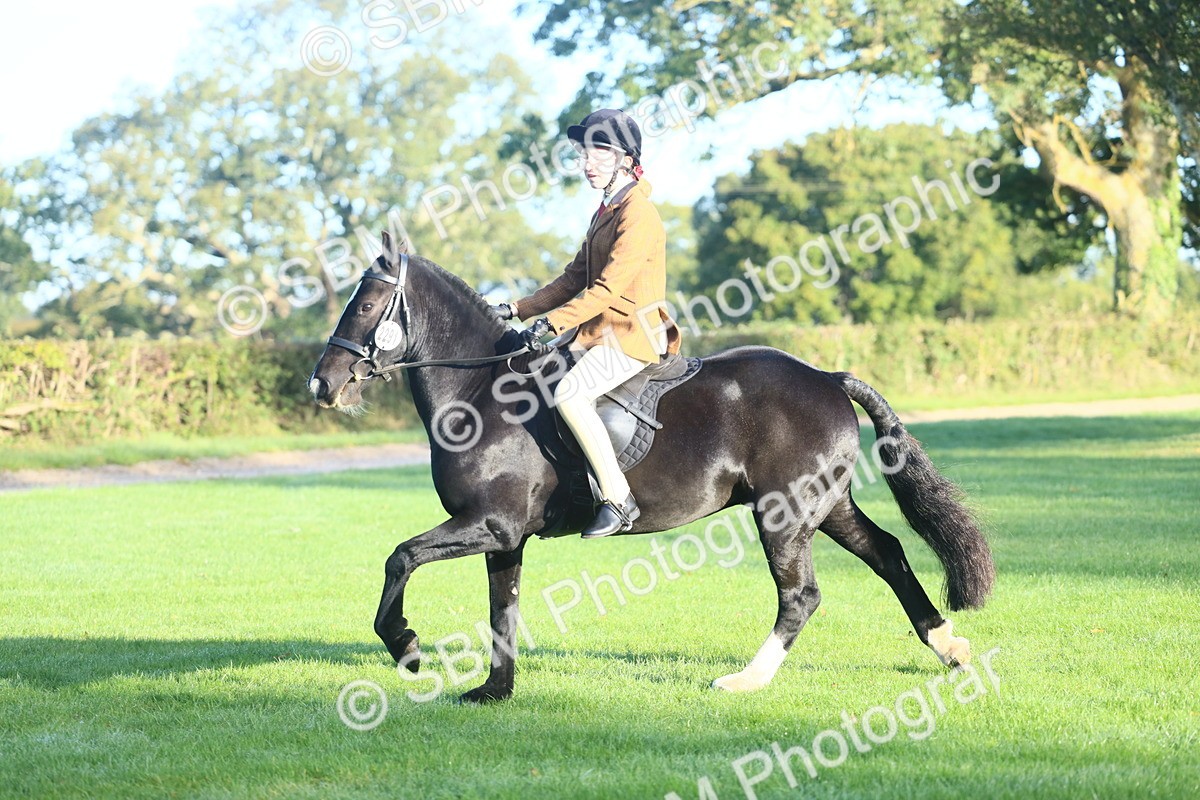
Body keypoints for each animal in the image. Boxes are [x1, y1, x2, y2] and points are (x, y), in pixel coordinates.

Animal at [308, 234, 995, 703]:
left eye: (365, 305)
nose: (323, 384)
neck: (481, 394)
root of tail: (825, 376)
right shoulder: (505, 536)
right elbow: (503, 607)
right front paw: (494, 691)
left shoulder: (491, 524)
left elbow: (400, 557)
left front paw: (406, 646)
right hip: (825, 507)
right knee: (888, 554)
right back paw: (949, 646)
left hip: (785, 515)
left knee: (801, 595)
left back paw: (746, 679)